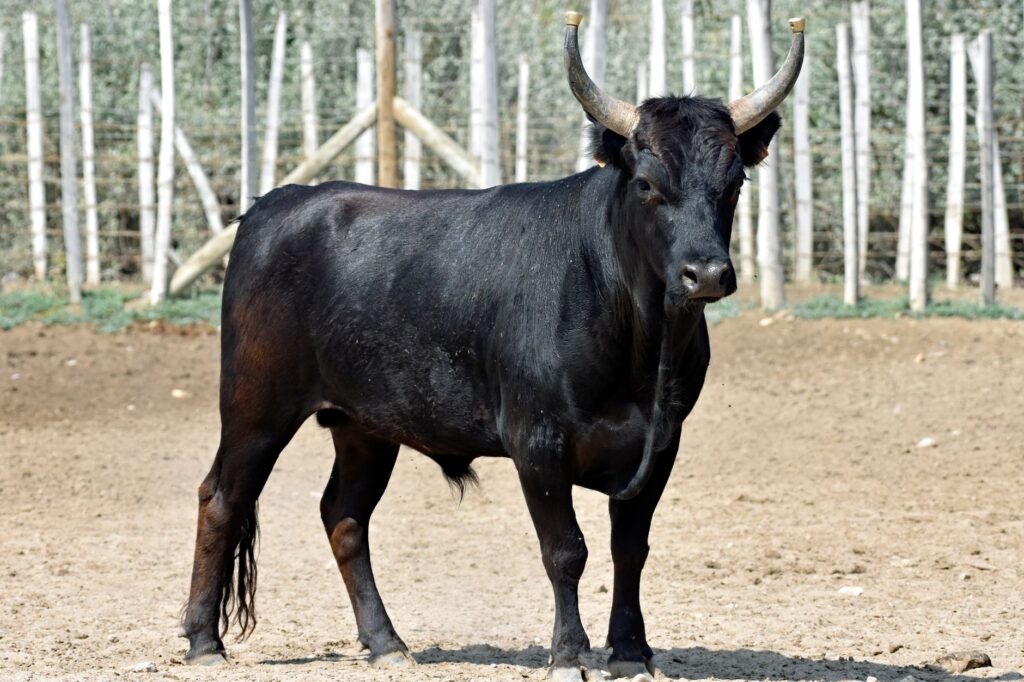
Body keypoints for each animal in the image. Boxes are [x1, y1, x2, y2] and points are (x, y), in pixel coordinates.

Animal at [180, 12, 804, 681]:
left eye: (734, 182)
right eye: (645, 183)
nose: (706, 274)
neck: (641, 347)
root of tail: (277, 202)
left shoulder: (661, 444)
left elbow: (629, 547)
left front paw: (632, 652)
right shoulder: (538, 442)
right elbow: (566, 551)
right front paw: (569, 654)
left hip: (364, 423)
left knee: (344, 516)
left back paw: (387, 642)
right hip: (256, 405)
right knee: (221, 498)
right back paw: (204, 642)